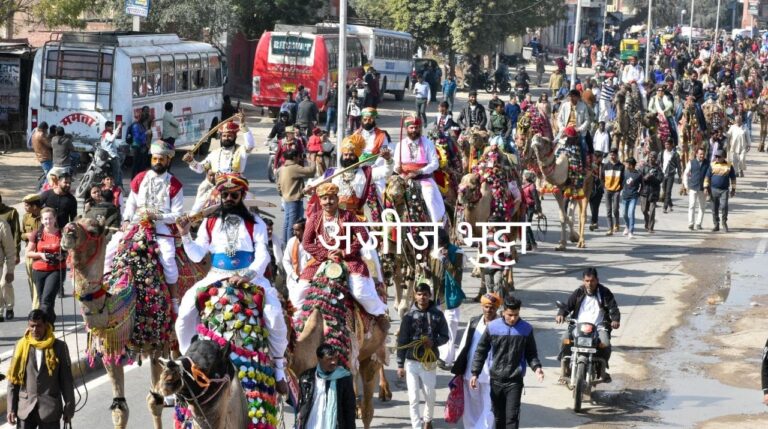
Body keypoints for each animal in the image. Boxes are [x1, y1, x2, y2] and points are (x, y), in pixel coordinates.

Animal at [60, 219, 208, 426]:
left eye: (93, 230)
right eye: (73, 221)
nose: (68, 232)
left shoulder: (155, 345)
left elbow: (154, 401)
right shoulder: (110, 349)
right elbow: (120, 408)